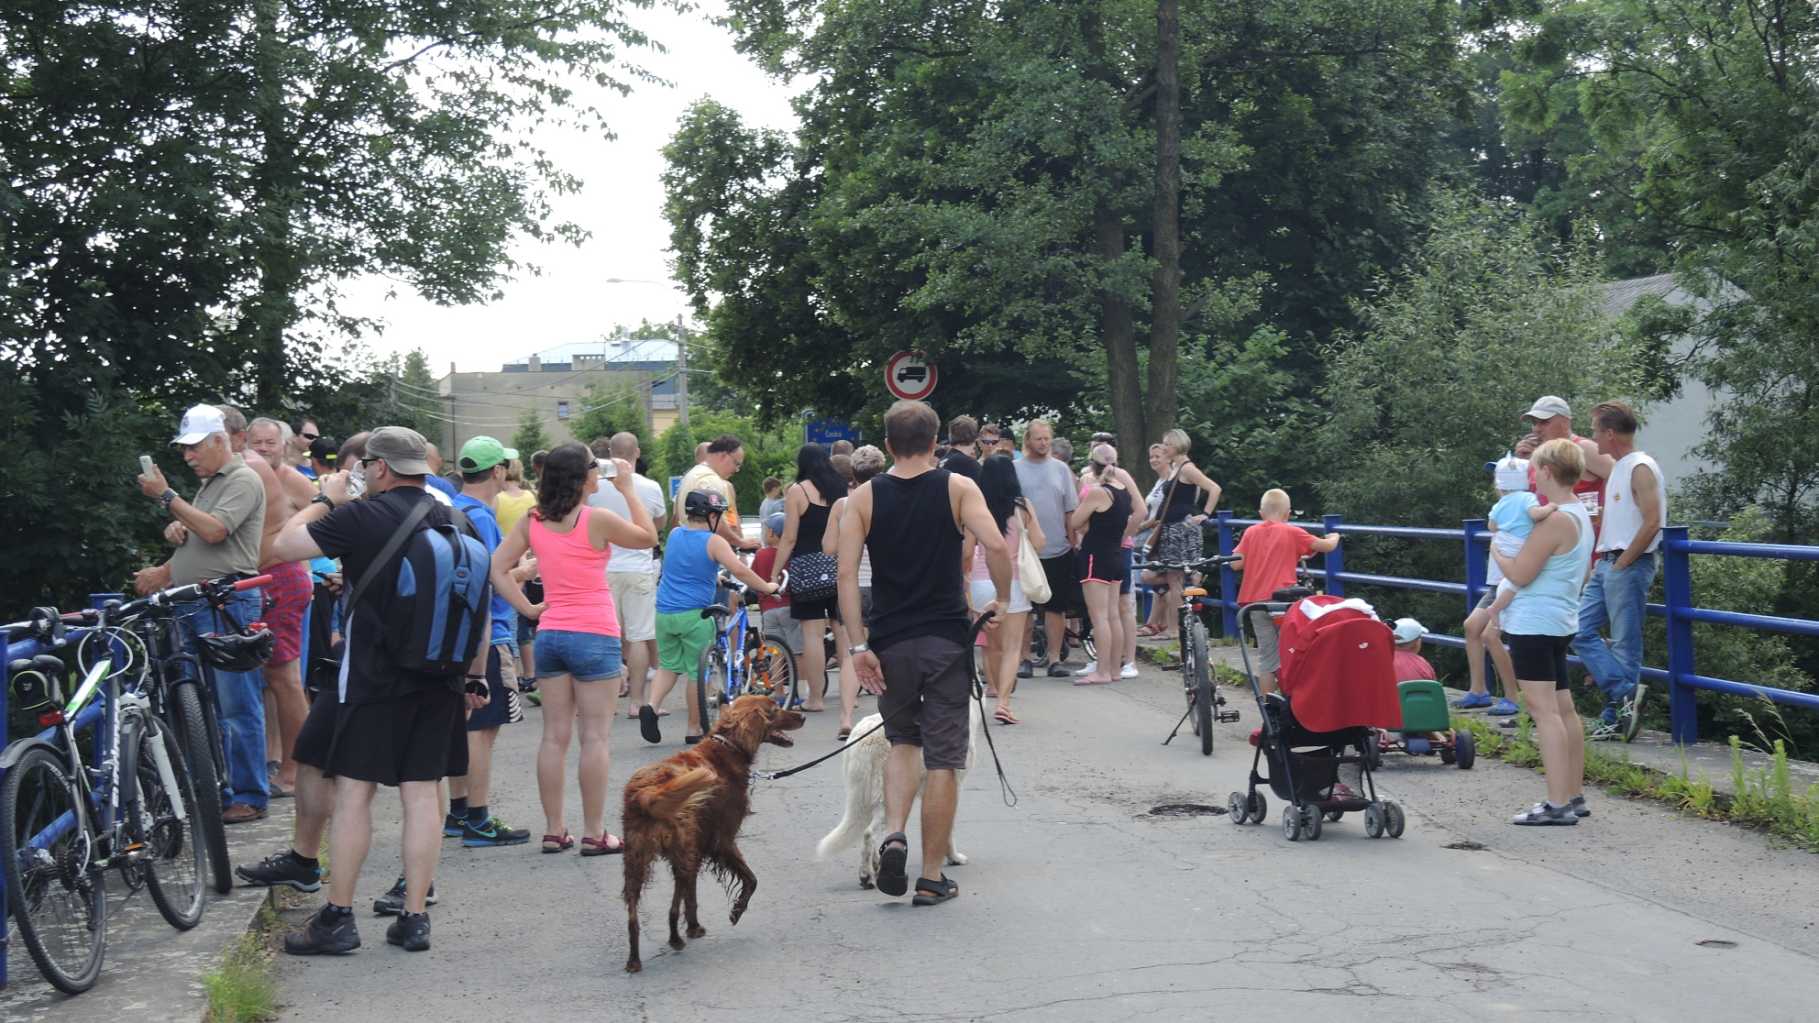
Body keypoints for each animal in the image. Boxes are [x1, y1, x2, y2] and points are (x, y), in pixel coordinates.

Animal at [811, 698, 982, 884]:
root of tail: (861, 738)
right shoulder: (953, 785)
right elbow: (949, 829)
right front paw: (954, 858)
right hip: (884, 801)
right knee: (869, 834)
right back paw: (866, 875)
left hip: (868, 797)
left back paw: (877, 865)